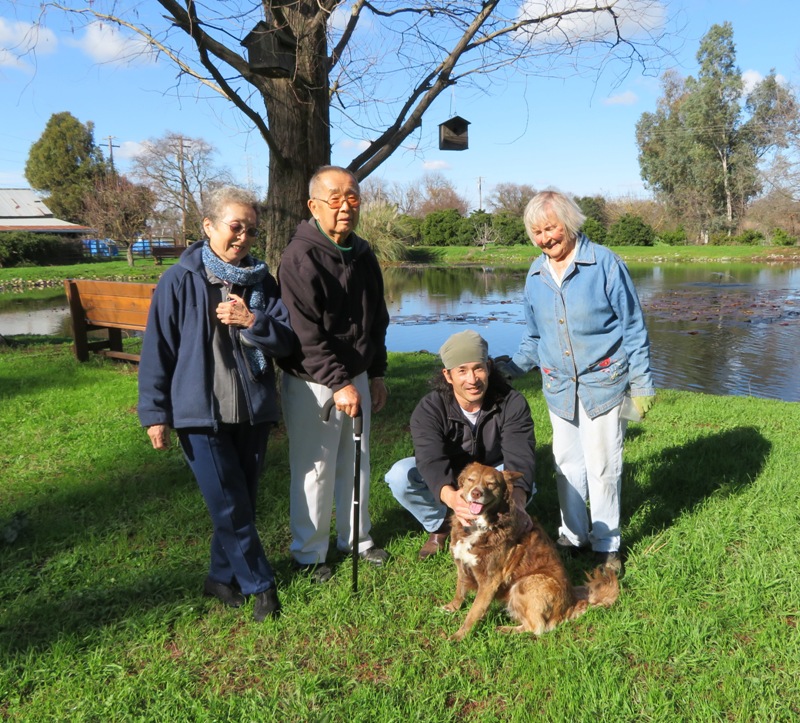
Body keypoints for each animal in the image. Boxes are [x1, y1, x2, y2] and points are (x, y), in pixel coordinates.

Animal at [444, 464, 620, 640]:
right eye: (470, 480)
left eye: (491, 484)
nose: (476, 493)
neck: (479, 526)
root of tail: (571, 604)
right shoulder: (461, 563)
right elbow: (460, 589)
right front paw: (453, 606)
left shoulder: (490, 580)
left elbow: (474, 611)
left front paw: (459, 636)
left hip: (525, 583)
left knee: (537, 627)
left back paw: (504, 630)